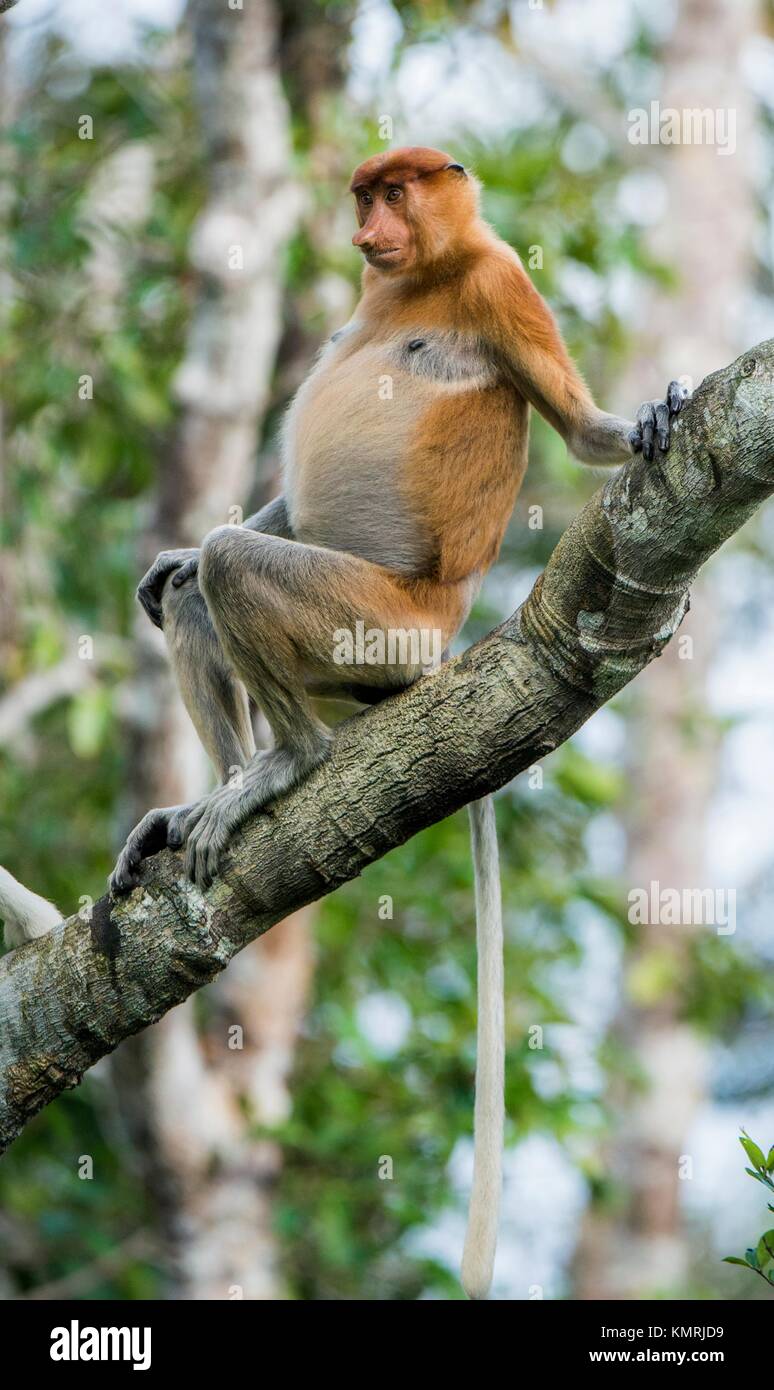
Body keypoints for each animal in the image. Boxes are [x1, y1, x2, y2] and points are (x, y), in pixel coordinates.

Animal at [106, 149, 680, 1301]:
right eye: (366, 194)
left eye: (397, 191)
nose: (369, 228)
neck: (424, 279)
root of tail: (442, 649)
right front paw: (164, 562)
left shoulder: (501, 282)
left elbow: (582, 428)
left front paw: (650, 421)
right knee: (204, 580)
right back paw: (206, 789)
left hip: (377, 628)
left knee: (236, 567)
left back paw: (288, 765)